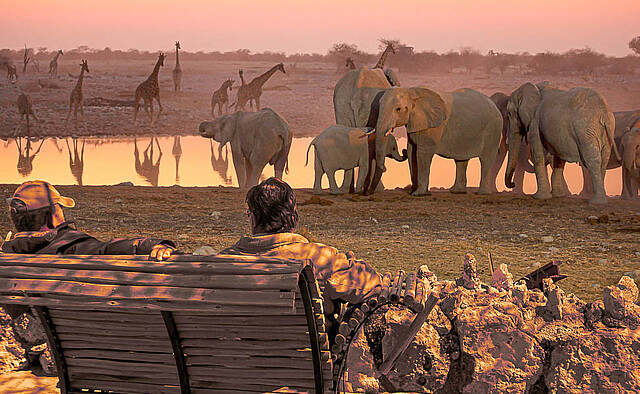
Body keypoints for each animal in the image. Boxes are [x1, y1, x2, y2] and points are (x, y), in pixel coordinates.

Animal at [368, 87, 502, 195]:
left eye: (398, 109)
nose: (386, 169)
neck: (412, 91)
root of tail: (495, 105)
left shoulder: (433, 127)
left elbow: (423, 153)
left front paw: (419, 194)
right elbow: (412, 152)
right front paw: (414, 191)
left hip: (493, 130)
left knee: (486, 160)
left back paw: (483, 193)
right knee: (461, 160)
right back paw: (457, 192)